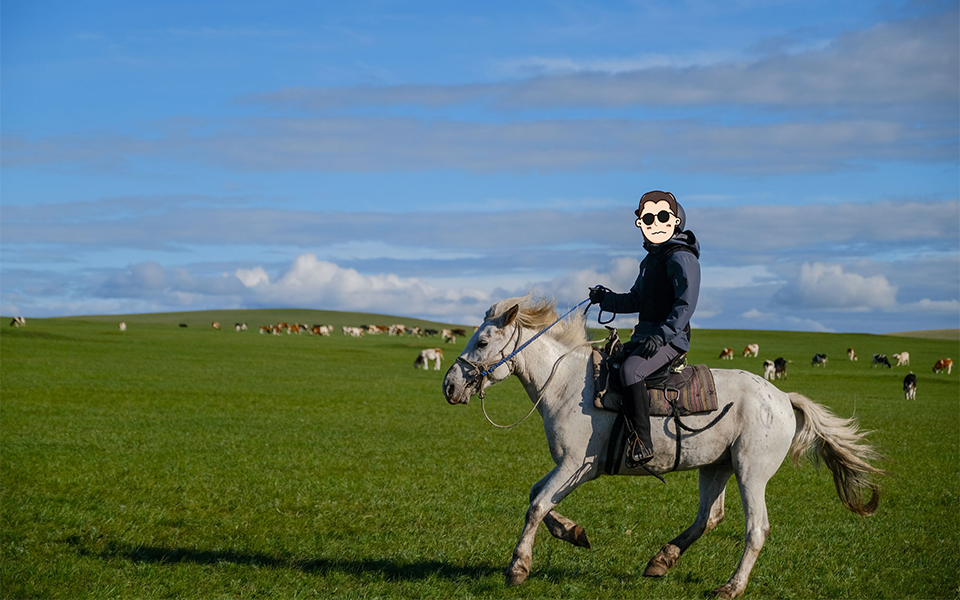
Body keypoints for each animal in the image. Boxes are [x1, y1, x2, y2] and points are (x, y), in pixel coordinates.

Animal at [442, 296, 884, 600]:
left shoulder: (576, 467)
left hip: (750, 471)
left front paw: (518, 568)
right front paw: (574, 533)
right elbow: (538, 497)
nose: (449, 386)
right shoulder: (569, 467)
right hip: (716, 467)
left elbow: (536, 505)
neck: (566, 383)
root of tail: (781, 397)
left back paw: (731, 587)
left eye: (483, 341)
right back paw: (661, 560)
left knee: (755, 528)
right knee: (709, 517)